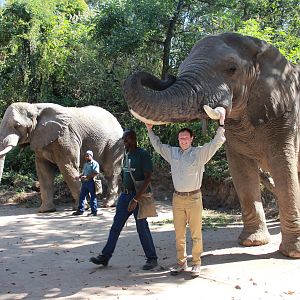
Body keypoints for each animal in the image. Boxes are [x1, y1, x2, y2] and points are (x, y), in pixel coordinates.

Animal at [122, 32, 300, 258]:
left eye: (232, 69)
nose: (169, 76)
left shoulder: (286, 115)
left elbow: (283, 167)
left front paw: (292, 253)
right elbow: (241, 171)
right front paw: (251, 242)